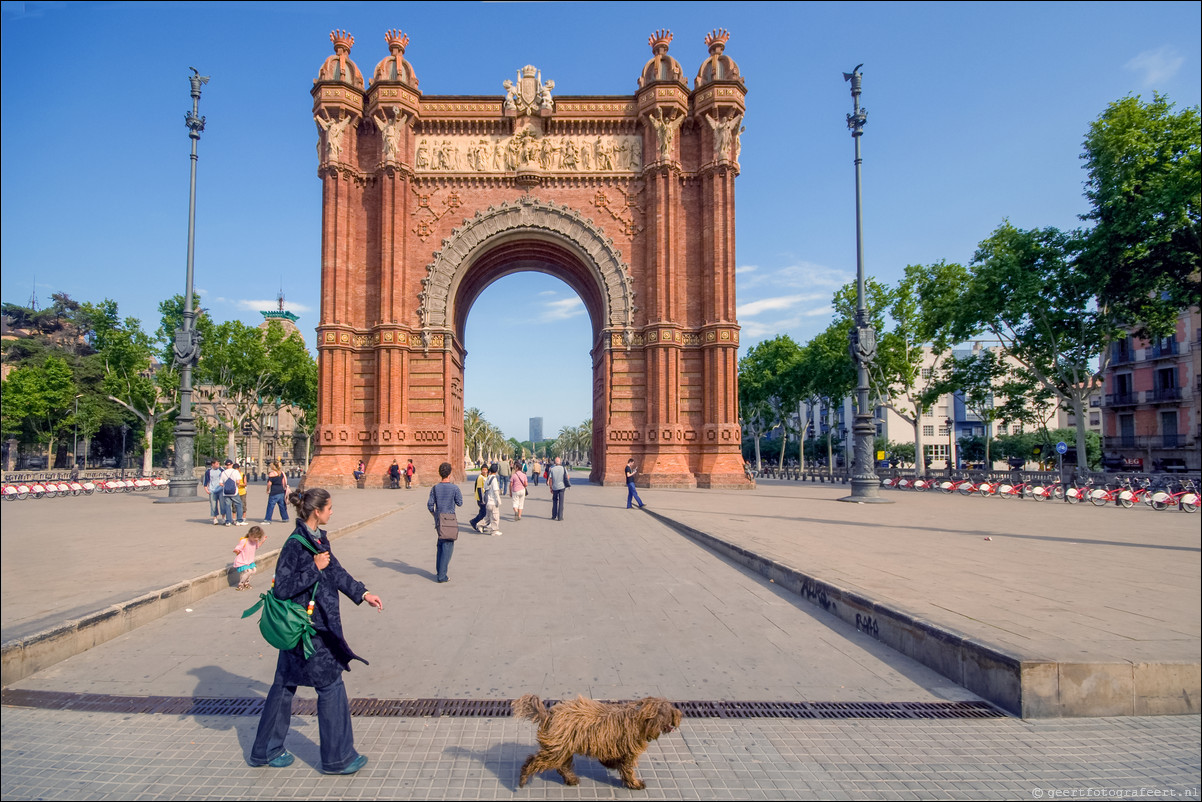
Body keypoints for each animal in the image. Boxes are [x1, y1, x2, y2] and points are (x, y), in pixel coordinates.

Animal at [512, 697, 682, 788]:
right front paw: (634, 783)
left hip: (564, 747)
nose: (674, 723)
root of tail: (548, 715)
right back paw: (523, 777)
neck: (639, 720)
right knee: (536, 760)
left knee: (563, 766)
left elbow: (614, 761)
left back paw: (571, 779)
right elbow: (627, 769)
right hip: (557, 748)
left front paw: (611, 764)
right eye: (667, 714)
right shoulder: (627, 752)